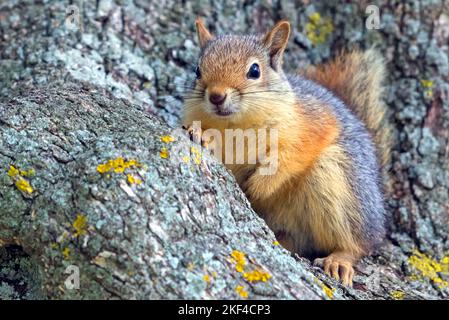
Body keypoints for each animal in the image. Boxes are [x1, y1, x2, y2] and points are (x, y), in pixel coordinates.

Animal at [182, 18, 388, 286]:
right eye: (197, 70)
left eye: (255, 70)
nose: (216, 96)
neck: (234, 124)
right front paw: (200, 134)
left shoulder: (314, 121)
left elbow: (292, 155)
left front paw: (261, 185)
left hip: (341, 181)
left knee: (361, 242)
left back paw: (340, 259)